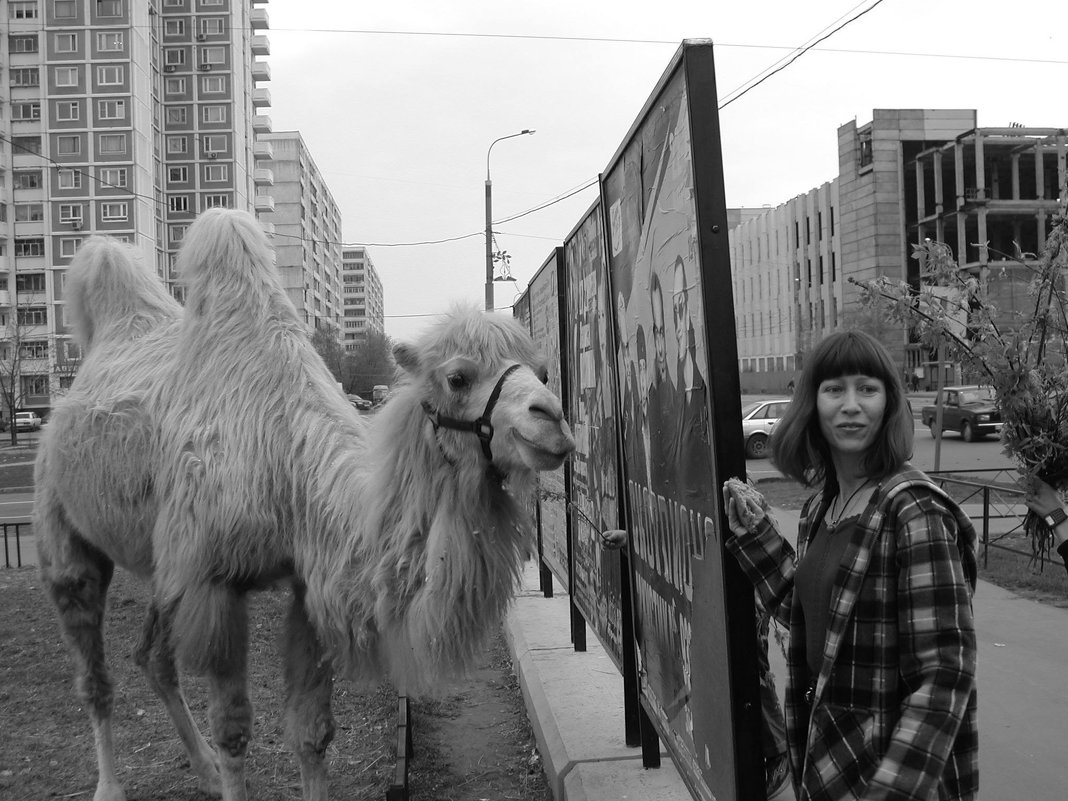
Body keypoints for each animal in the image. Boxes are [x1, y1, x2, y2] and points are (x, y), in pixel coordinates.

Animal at [37, 208, 576, 801]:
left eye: (543, 371)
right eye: (457, 377)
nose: (551, 420)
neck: (287, 464)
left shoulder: (303, 580)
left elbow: (313, 733)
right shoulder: (213, 582)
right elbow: (234, 732)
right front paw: (227, 765)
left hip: (163, 561)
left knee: (153, 658)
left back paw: (201, 770)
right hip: (64, 525)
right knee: (94, 670)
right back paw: (111, 785)